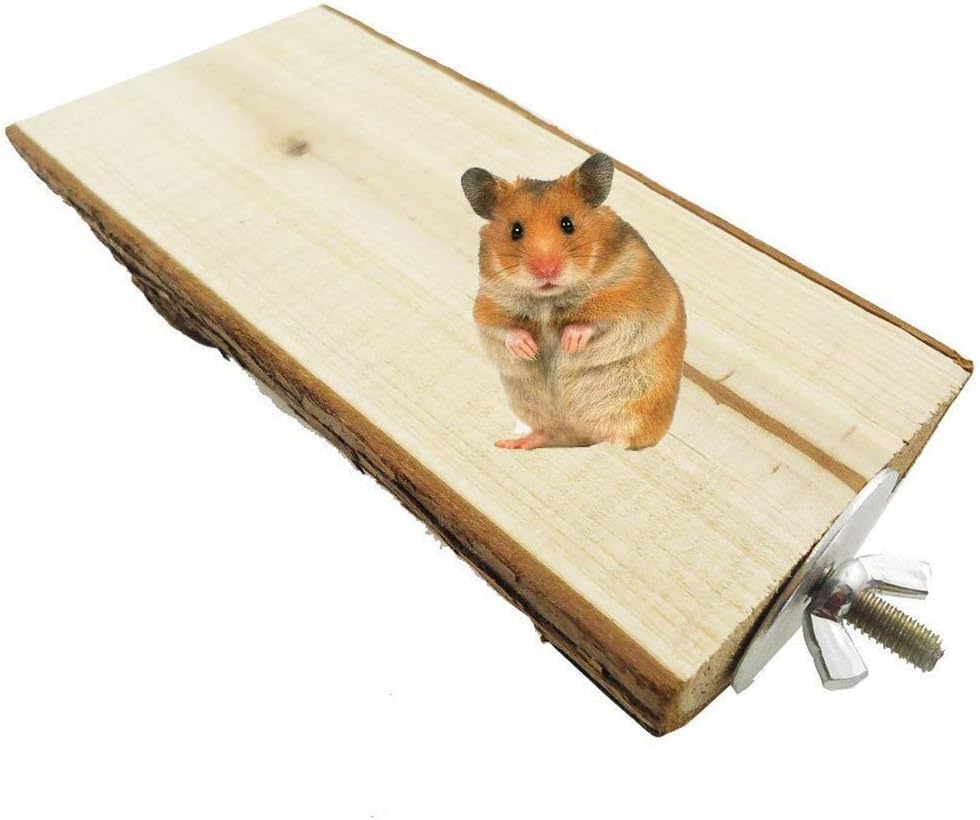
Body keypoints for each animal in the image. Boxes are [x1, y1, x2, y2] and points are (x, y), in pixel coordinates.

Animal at [461, 153, 685, 450]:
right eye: (515, 231)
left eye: (568, 224)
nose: (546, 271)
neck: (548, 299)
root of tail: (580, 437)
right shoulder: (487, 305)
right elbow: (504, 330)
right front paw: (529, 349)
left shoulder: (631, 298)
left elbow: (597, 324)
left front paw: (570, 343)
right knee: (549, 433)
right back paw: (512, 443)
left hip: (635, 408)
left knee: (622, 437)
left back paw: (609, 443)